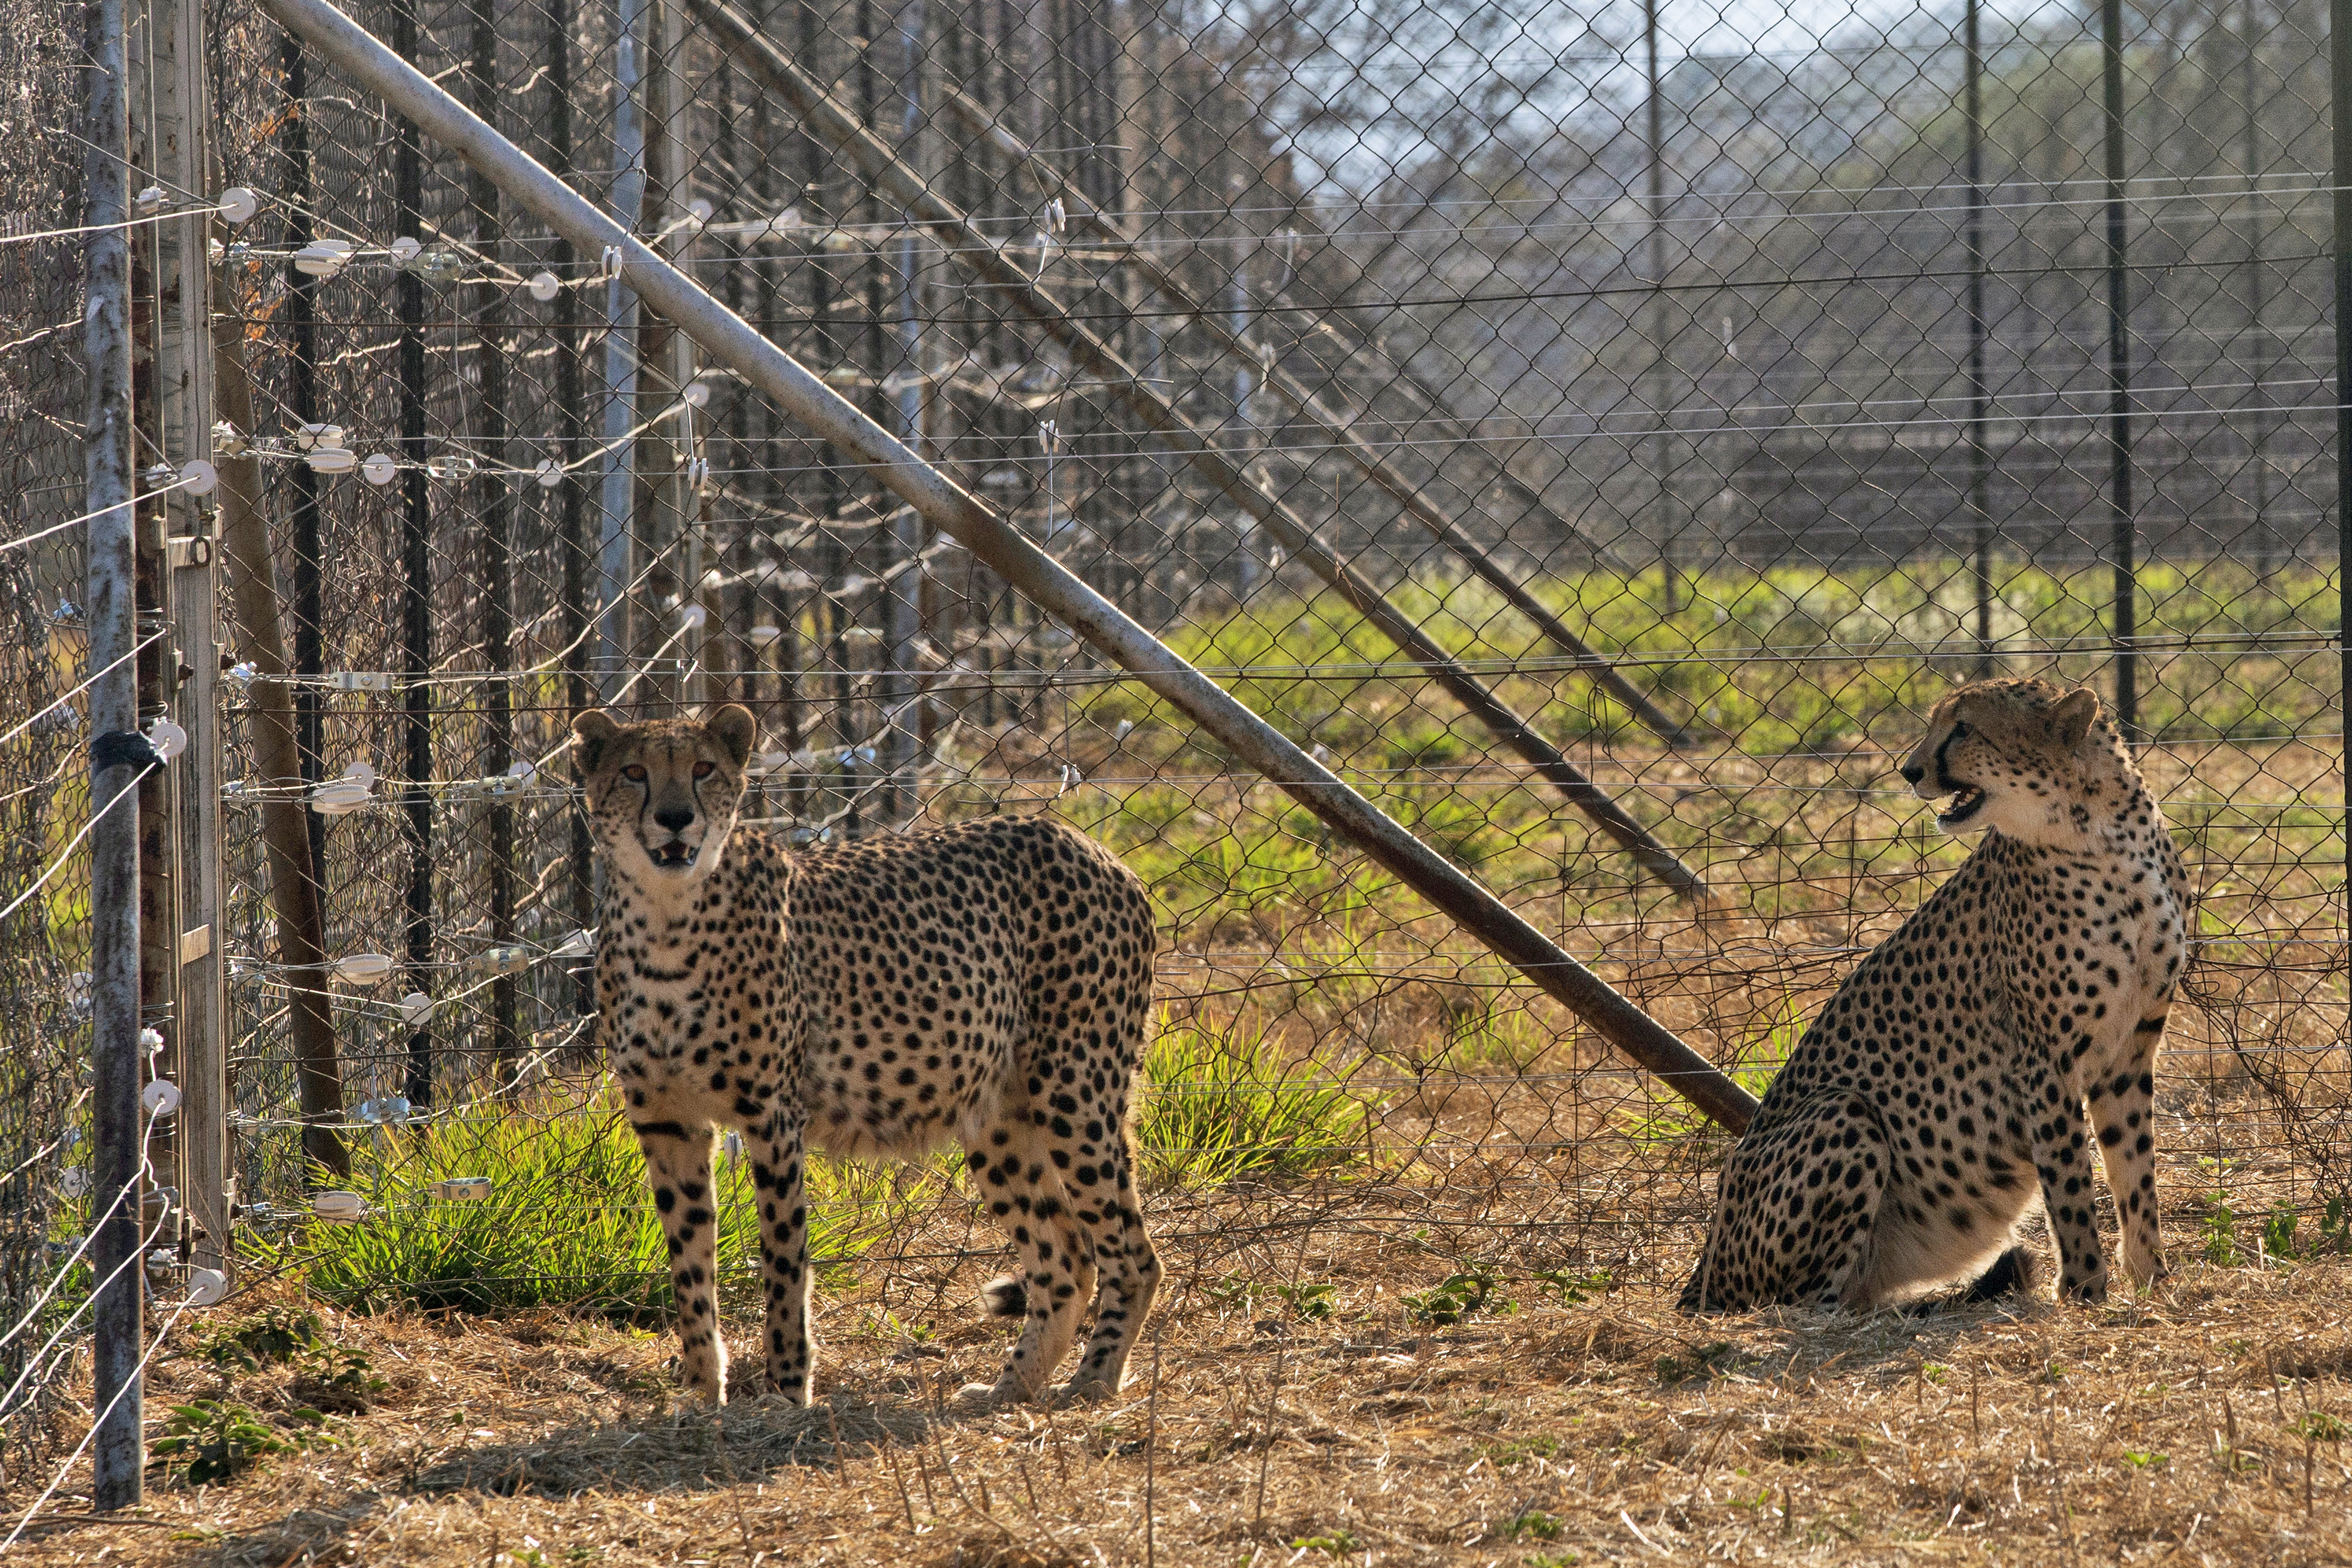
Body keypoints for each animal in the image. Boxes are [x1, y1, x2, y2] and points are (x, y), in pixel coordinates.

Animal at [572, 702, 1161, 1408]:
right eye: (634, 771)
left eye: (703, 768)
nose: (675, 816)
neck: (666, 916)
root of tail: (1086, 844)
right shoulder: (667, 1121)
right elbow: (688, 1263)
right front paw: (701, 1392)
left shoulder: (772, 1116)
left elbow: (783, 1260)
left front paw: (786, 1389)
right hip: (997, 1116)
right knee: (1066, 1256)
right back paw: (1007, 1389)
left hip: (1074, 1091)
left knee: (1132, 1253)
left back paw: (1093, 1379)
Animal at [1680, 676, 2190, 1314]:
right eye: (1936, 723)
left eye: (1964, 728)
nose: (1909, 770)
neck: (2103, 834)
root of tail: (1700, 1270)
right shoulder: (2043, 1058)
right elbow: (2070, 1183)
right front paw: (2084, 1292)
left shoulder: (2128, 1050)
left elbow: (2133, 1170)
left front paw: (2152, 1281)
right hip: (1844, 1112)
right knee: (1806, 1300)